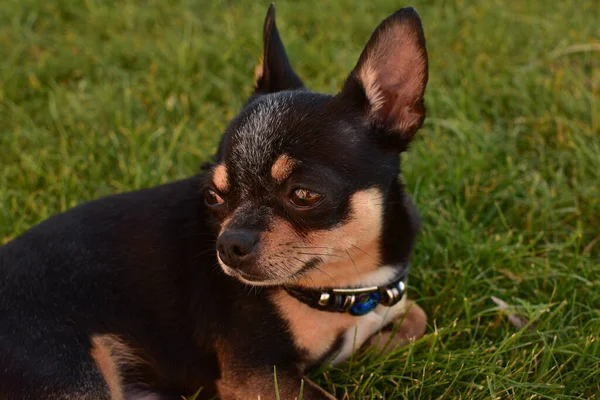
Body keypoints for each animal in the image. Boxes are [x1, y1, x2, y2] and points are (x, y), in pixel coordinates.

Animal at [1, 3, 432, 400]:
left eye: (304, 194)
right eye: (213, 196)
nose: (228, 245)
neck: (345, 286)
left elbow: (418, 318)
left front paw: (374, 345)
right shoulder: (258, 375)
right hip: (74, 376)